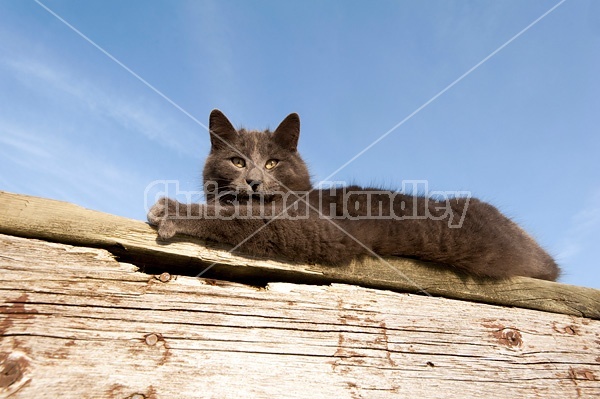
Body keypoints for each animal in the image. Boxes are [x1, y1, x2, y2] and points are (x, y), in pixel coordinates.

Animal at [148, 110, 560, 282]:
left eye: (272, 163)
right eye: (236, 160)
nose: (252, 180)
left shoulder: (314, 229)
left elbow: (241, 218)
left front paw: (172, 211)